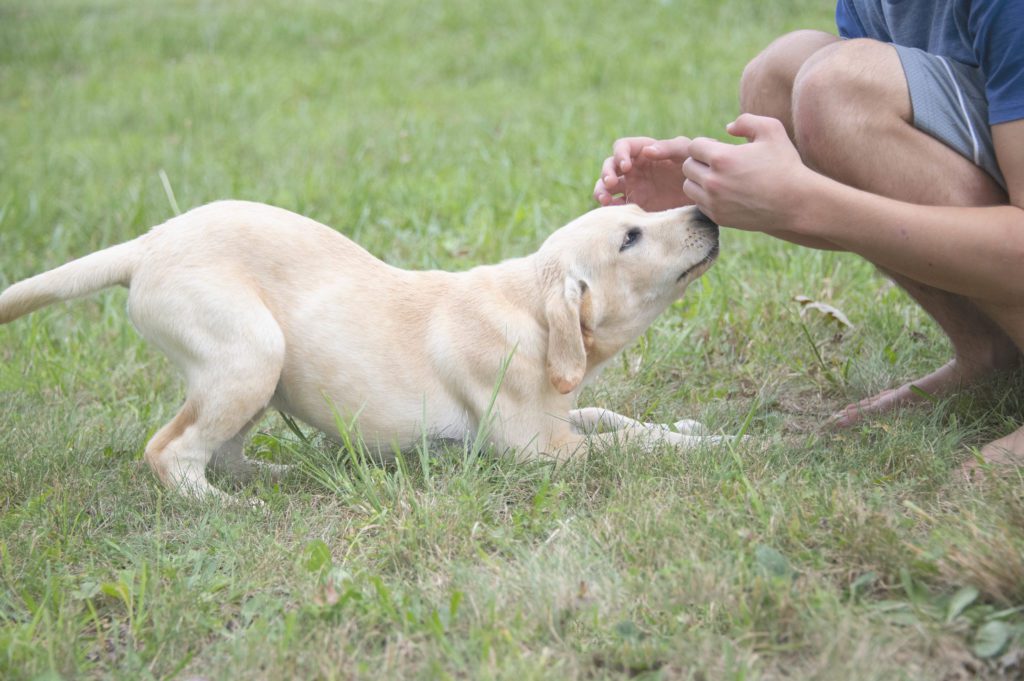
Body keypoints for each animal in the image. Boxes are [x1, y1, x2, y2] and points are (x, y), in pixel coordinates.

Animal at [0, 199, 720, 497]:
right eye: (630, 237)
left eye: (640, 213)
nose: (706, 214)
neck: (533, 310)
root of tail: (147, 243)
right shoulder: (540, 450)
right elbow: (629, 445)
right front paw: (721, 445)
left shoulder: (560, 417)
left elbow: (616, 419)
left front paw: (693, 428)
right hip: (253, 351)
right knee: (170, 450)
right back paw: (223, 506)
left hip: (257, 374)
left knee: (220, 450)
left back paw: (283, 476)